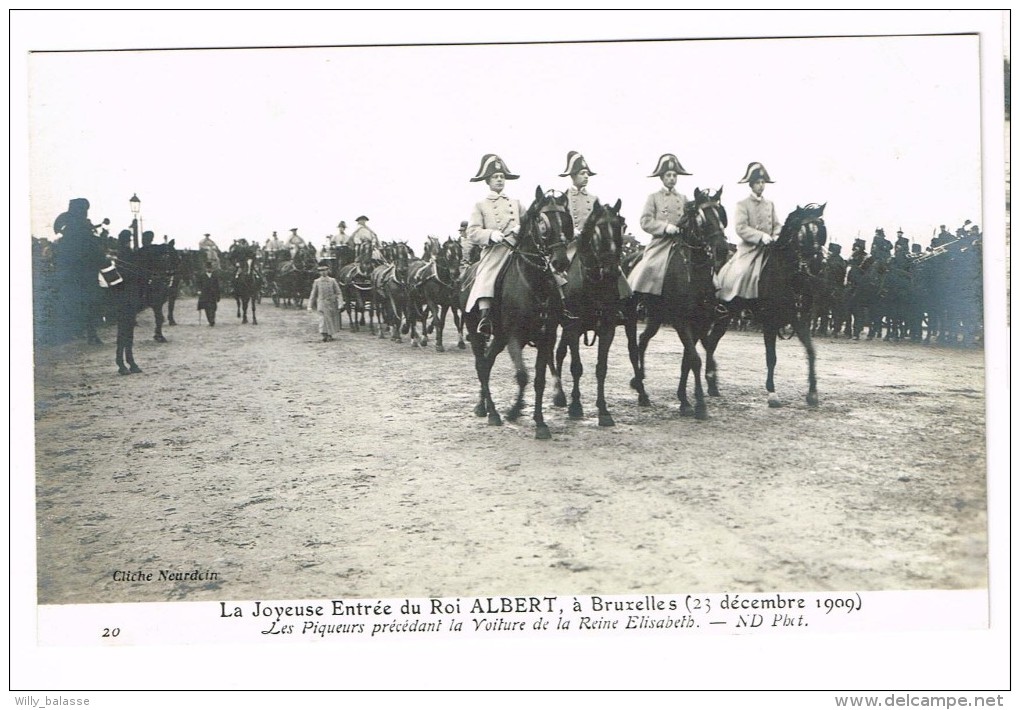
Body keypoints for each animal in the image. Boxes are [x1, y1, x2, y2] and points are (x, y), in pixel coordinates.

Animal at [459, 182, 571, 438]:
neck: (533, 281)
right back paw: (491, 412)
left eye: (566, 219)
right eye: (542, 221)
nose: (560, 262)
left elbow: (538, 379)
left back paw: (483, 406)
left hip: (499, 338)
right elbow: (522, 376)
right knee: (481, 366)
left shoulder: (546, 337)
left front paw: (539, 422)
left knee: (487, 363)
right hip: (479, 334)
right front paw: (512, 411)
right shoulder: (514, 336)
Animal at [550, 196, 628, 424]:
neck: (594, 282)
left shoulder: (607, 329)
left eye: (620, 226)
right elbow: (576, 367)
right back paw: (559, 395)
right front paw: (576, 406)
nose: (611, 269)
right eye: (599, 228)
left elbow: (601, 368)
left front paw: (603, 410)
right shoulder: (574, 326)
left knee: (560, 353)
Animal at [620, 188, 734, 422]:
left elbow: (687, 361)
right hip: (631, 316)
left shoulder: (700, 323)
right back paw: (642, 394)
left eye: (721, 214)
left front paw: (684, 400)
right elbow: (695, 359)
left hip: (655, 316)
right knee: (633, 348)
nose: (721, 250)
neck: (694, 274)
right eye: (700, 218)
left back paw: (639, 380)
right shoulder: (681, 322)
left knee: (643, 340)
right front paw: (699, 405)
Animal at [750, 201, 828, 408]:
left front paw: (812, 393)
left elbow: (811, 351)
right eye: (803, 231)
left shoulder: (801, 321)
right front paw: (772, 393)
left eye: (821, 228)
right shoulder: (769, 323)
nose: (817, 264)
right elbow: (771, 357)